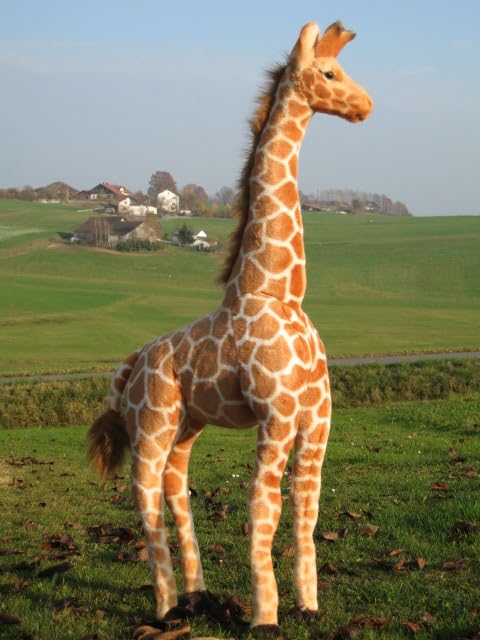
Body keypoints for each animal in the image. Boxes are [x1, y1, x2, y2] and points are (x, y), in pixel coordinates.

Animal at [88, 20, 372, 635]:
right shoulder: (276, 417)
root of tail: (130, 365)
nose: (365, 106)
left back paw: (198, 595)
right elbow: (263, 512)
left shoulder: (317, 420)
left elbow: (306, 510)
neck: (276, 290)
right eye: (329, 72)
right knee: (144, 498)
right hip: (151, 425)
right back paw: (167, 607)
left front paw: (308, 607)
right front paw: (266, 618)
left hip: (187, 426)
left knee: (176, 487)